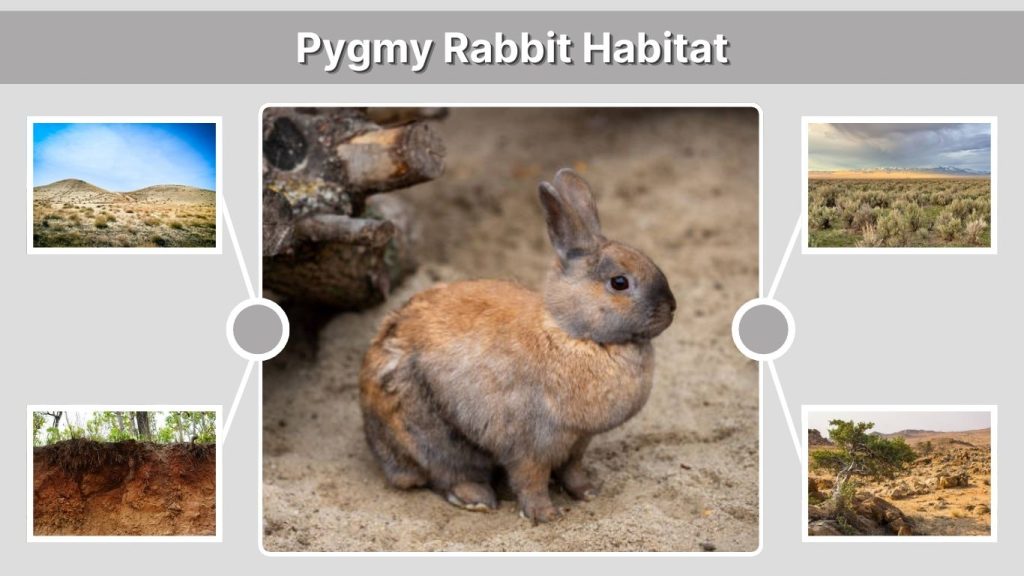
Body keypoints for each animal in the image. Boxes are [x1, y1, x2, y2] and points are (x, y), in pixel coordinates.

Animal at [359, 168, 676, 523]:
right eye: (619, 283)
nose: (671, 307)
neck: (572, 332)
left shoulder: (577, 443)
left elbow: (573, 471)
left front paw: (589, 494)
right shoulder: (531, 446)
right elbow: (531, 481)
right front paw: (546, 515)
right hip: (431, 432)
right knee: (447, 472)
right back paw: (477, 499)